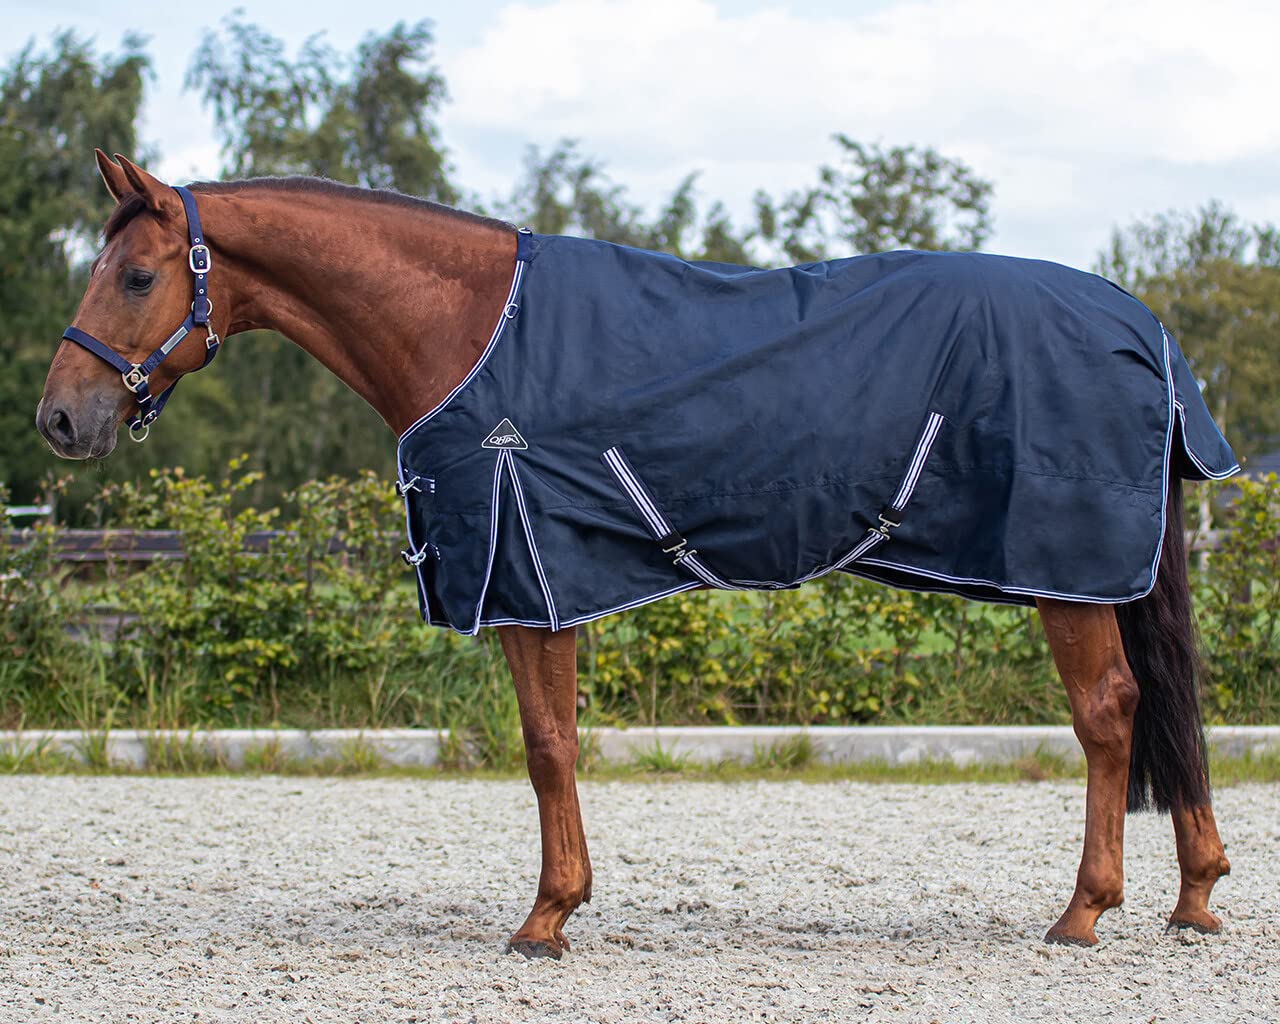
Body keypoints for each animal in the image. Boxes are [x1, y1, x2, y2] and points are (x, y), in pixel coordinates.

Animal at [35, 151, 1232, 959]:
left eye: (136, 277)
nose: (59, 419)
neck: (465, 327)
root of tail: (1144, 326)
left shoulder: (528, 574)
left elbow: (546, 745)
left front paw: (546, 915)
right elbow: (553, 743)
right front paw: (559, 903)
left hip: (1065, 570)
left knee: (1110, 711)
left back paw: (1084, 910)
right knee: (1164, 707)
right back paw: (1194, 895)